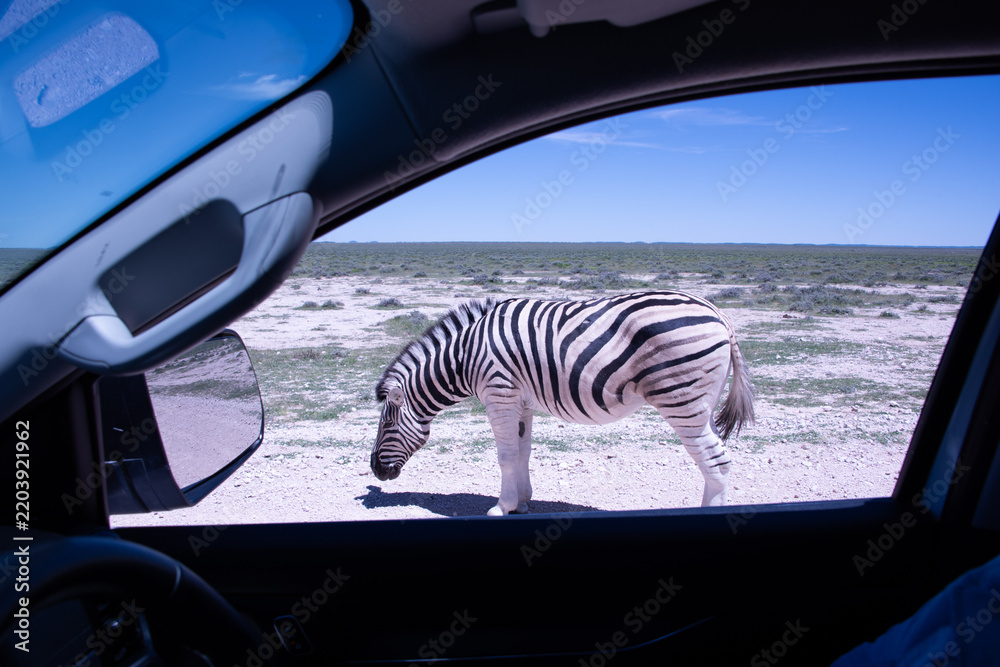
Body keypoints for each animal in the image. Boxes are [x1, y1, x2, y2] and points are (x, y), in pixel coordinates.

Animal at [370, 291, 754, 515]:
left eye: (387, 423)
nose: (375, 470)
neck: (465, 355)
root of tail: (718, 314)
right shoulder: (521, 401)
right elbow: (522, 451)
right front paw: (523, 501)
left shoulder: (499, 394)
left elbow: (505, 456)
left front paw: (501, 507)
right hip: (700, 403)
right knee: (716, 460)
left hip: (681, 399)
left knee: (716, 461)